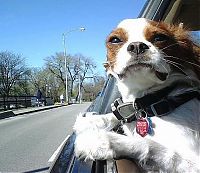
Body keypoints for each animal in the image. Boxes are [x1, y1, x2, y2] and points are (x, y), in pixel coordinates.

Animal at [74, 18, 200, 172]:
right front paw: (92, 120)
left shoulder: (194, 163)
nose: (137, 46)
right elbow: (118, 114)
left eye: (160, 37)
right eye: (115, 40)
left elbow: (150, 145)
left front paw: (99, 140)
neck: (148, 103)